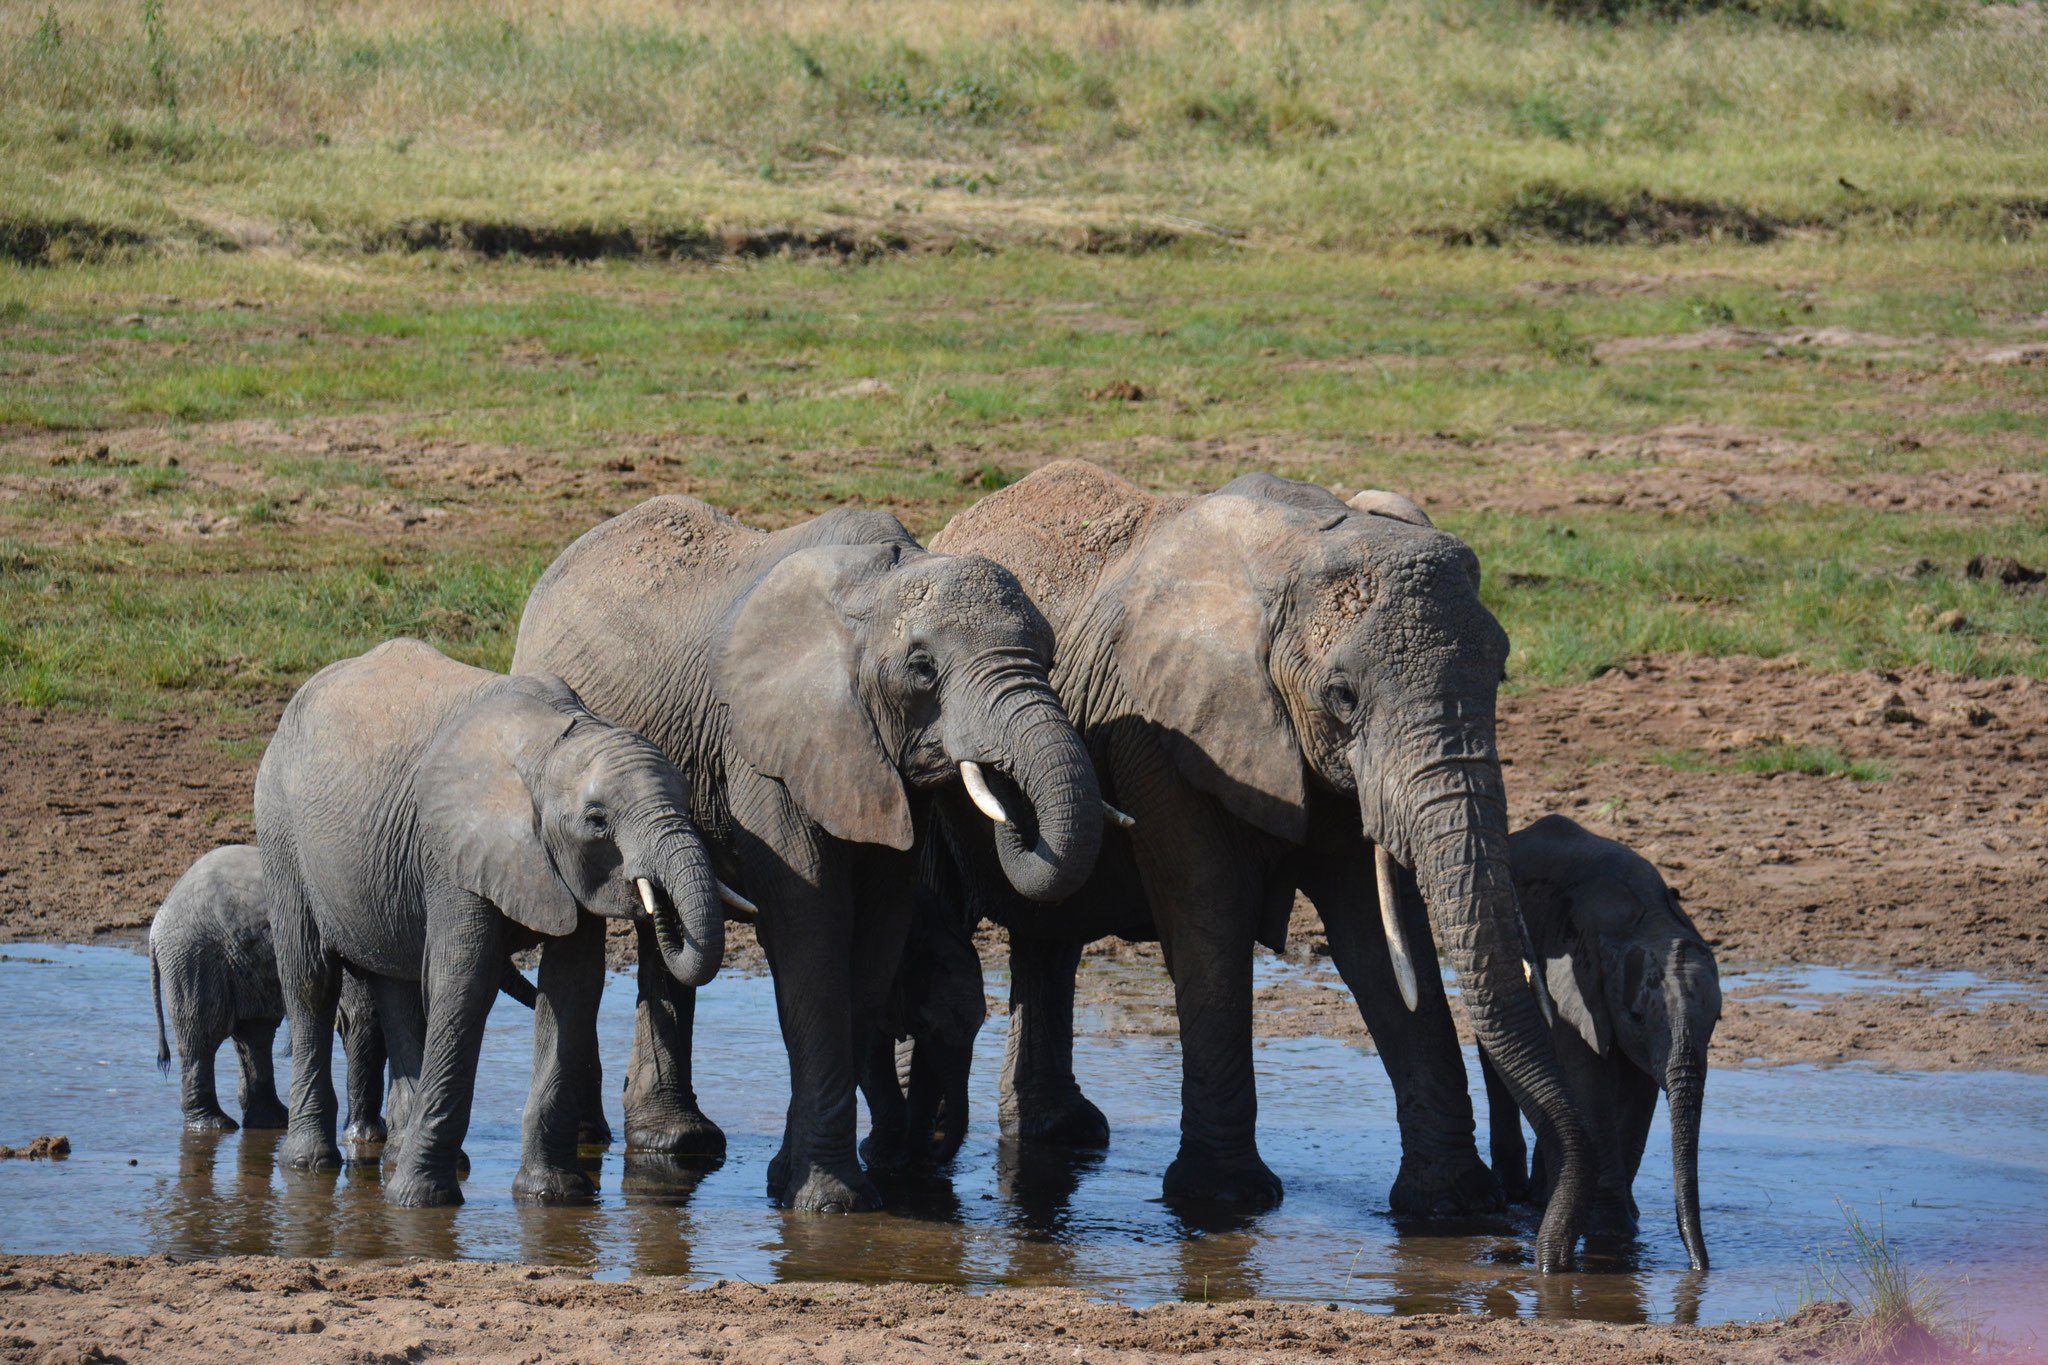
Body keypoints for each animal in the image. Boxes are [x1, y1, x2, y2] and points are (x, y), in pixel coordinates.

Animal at [149, 843, 544, 1146]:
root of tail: (159, 918)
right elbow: (364, 1021)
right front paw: (368, 1138)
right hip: (195, 956)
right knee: (204, 1034)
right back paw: (215, 1125)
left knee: (255, 1034)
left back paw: (273, 1121)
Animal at [260, 642, 729, 1203]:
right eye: (597, 820)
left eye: (686, 801)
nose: (658, 911)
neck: (551, 743)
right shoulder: (453, 850)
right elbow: (465, 983)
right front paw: (418, 1201)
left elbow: (572, 988)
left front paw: (553, 1194)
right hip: (280, 830)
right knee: (311, 980)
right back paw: (310, 1164)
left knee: (395, 984)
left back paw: (400, 1154)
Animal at [512, 497, 1105, 1211]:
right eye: (921, 667)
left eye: (1048, 655)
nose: (1009, 800)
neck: (878, 585)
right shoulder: (768, 747)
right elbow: (811, 928)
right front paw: (829, 1202)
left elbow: (874, 937)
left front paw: (793, 1180)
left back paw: (677, 1143)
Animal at [913, 464, 1597, 1277]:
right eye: (1343, 696)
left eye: (1501, 672)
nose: (1549, 1257)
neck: (1302, 549)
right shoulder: (1165, 732)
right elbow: (1210, 916)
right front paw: (1224, 1202)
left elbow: (1376, 943)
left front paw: (1454, 1208)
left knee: (1049, 939)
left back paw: (1063, 1135)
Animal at [1482, 810, 1720, 1268]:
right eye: (1637, 1015)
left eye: (1717, 1020)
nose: (1699, 1268)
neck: (1647, 918)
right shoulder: (1575, 979)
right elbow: (1589, 1082)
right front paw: (1611, 1231)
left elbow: (1640, 1093)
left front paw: (1625, 1225)